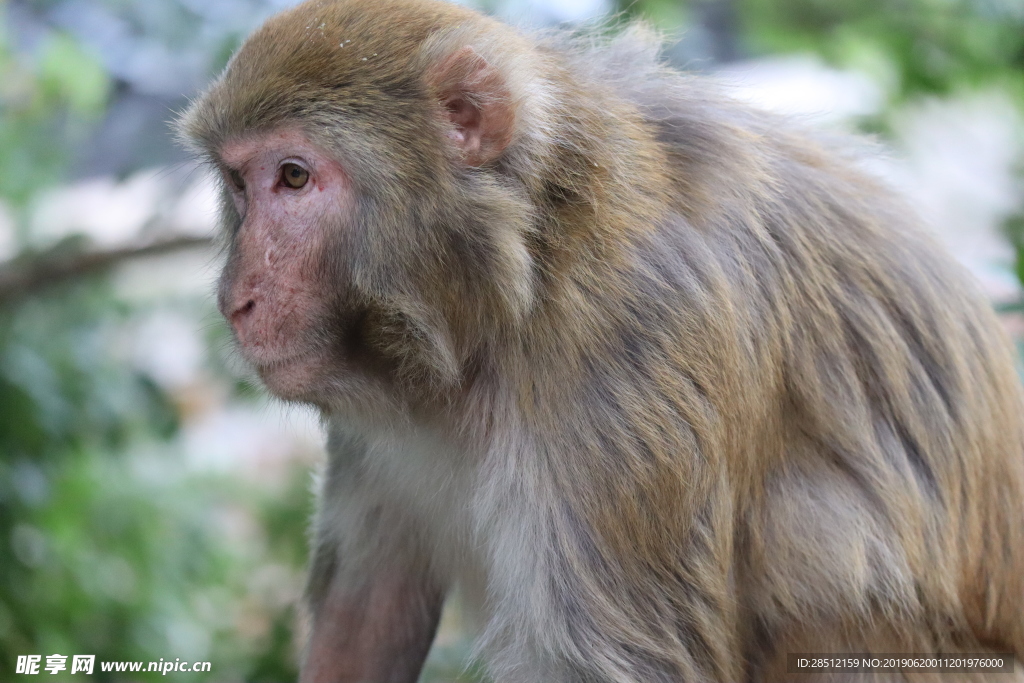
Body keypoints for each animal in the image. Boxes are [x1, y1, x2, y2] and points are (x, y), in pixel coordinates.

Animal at [180, 0, 1024, 679]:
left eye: (294, 177)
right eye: (239, 184)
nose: (234, 300)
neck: (523, 279)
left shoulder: (628, 366)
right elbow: (371, 606)